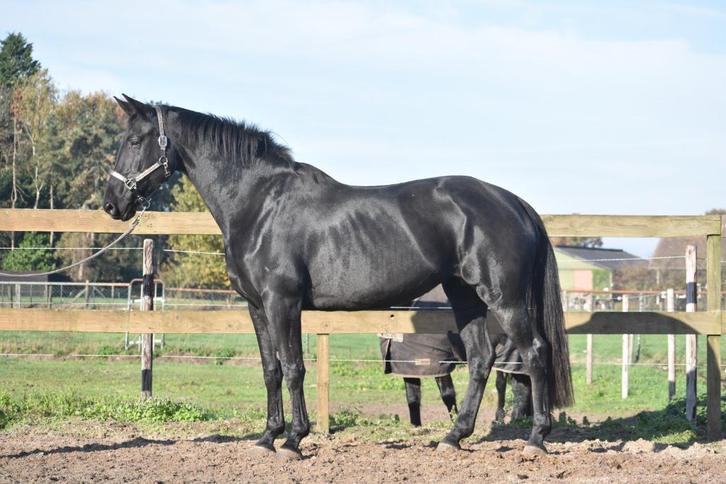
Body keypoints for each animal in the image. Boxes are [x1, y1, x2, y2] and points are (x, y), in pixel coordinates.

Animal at [103, 95, 573, 459]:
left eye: (133, 140)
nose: (112, 204)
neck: (261, 203)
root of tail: (513, 202)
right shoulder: (257, 306)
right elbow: (270, 369)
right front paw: (267, 437)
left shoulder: (282, 302)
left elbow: (293, 367)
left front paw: (294, 440)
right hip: (466, 297)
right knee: (480, 359)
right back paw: (453, 437)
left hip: (503, 298)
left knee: (535, 352)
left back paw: (536, 439)